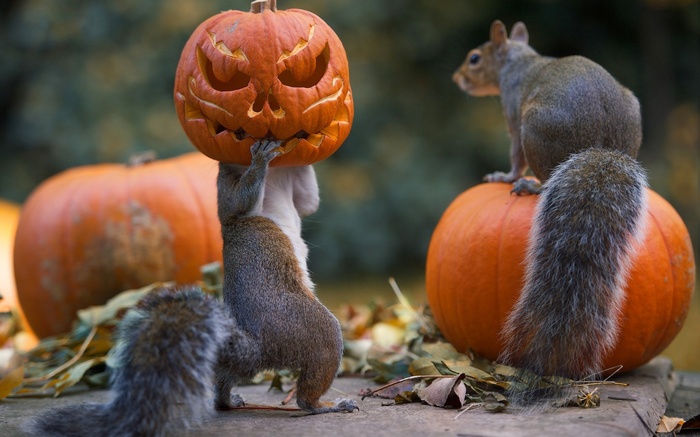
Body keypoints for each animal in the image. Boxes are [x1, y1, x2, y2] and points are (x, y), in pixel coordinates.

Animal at [29, 139, 358, 437]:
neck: (276, 177)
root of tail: (257, 346)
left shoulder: (295, 190)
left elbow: (308, 201)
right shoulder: (227, 193)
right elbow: (240, 201)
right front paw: (260, 158)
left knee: (225, 380)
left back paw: (228, 400)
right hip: (313, 330)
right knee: (308, 390)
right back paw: (326, 405)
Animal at [452, 20, 649, 399]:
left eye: (474, 58)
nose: (457, 78)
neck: (519, 60)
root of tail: (603, 147)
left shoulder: (513, 114)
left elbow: (515, 155)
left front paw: (506, 175)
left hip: (535, 127)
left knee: (542, 174)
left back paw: (531, 185)